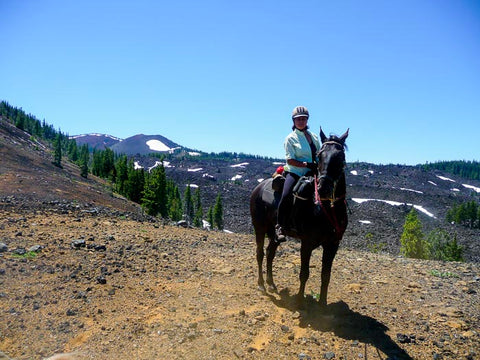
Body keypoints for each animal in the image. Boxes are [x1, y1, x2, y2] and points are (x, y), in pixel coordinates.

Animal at [249, 128, 346, 308]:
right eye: (320, 155)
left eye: (340, 156)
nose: (323, 188)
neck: (325, 208)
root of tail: (258, 187)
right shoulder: (306, 243)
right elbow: (304, 273)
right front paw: (300, 301)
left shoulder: (333, 244)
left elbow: (326, 275)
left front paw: (322, 304)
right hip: (259, 227)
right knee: (260, 253)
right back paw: (261, 285)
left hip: (275, 232)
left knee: (270, 252)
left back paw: (271, 283)